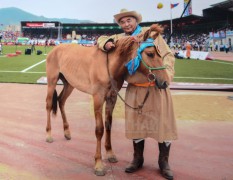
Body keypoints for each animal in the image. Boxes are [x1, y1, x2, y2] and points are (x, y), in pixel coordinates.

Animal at [45, 23, 169, 176]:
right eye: (150, 54)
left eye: (160, 54)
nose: (165, 82)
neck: (108, 66)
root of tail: (55, 49)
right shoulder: (98, 97)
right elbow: (99, 129)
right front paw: (98, 164)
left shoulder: (112, 97)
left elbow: (108, 125)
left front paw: (110, 154)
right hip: (52, 81)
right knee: (49, 104)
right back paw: (49, 134)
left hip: (69, 84)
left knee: (61, 101)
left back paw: (67, 132)